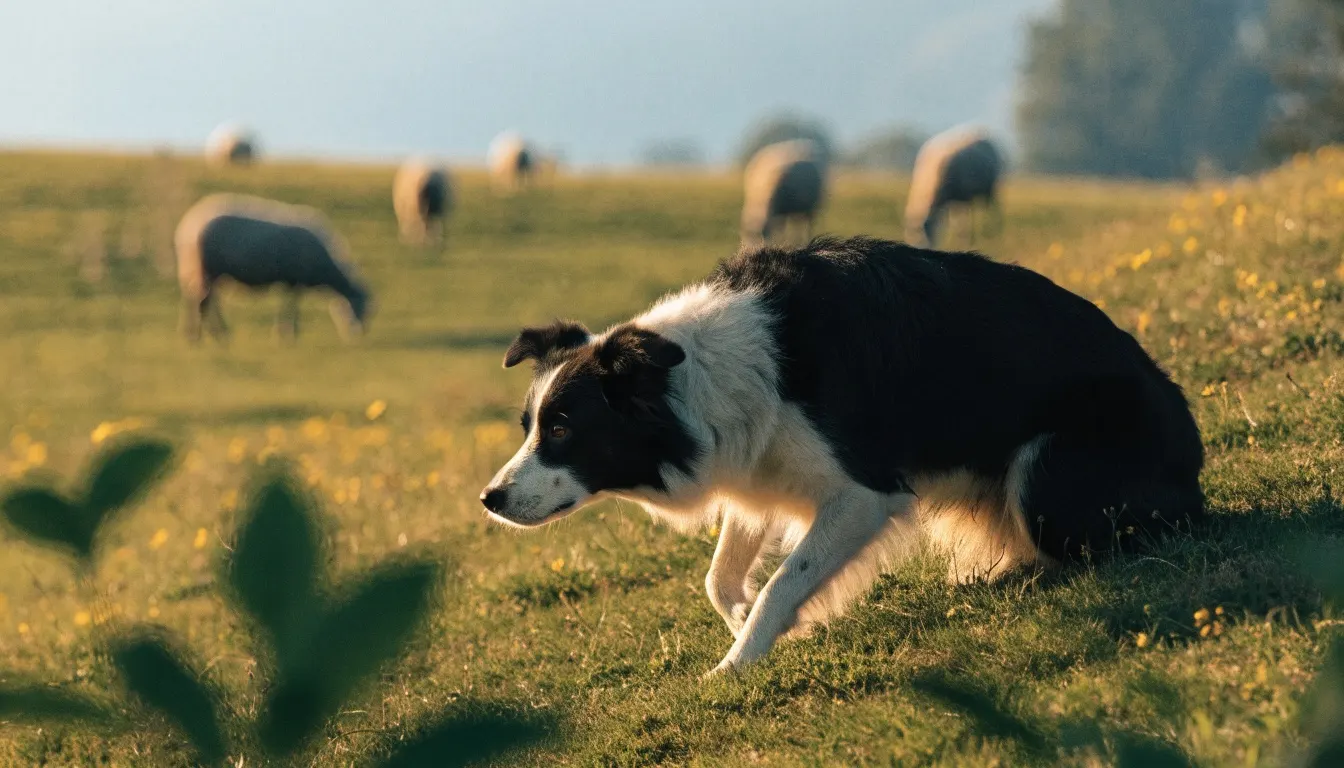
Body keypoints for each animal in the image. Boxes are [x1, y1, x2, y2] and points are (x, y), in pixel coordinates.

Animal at [175, 194, 372, 343]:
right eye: (362, 305)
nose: (359, 336)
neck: (326, 268)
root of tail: (187, 225)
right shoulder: (296, 279)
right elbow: (292, 306)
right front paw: (289, 334)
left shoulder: (289, 280)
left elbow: (287, 304)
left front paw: (284, 333)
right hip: (208, 269)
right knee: (203, 301)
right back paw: (207, 336)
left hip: (201, 271)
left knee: (201, 299)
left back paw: (201, 334)